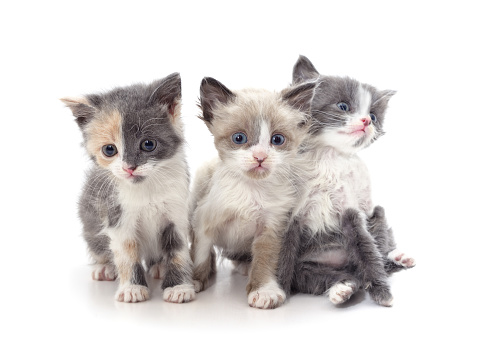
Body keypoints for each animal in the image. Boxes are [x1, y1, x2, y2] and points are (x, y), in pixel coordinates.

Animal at [59, 73, 194, 304]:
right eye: (109, 149)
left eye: (148, 144)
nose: (129, 167)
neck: (145, 188)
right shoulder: (116, 215)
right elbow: (126, 252)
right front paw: (132, 288)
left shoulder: (176, 212)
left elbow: (177, 250)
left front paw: (179, 287)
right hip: (90, 225)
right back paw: (104, 268)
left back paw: (159, 266)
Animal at [188, 77, 316, 310]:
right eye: (239, 138)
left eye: (277, 140)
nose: (260, 157)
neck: (251, 190)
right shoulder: (203, 223)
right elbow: (200, 254)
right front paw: (193, 280)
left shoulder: (271, 228)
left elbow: (265, 261)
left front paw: (263, 290)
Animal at [278, 55, 414, 308]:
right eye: (343, 106)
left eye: (373, 116)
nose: (366, 121)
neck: (329, 157)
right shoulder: (289, 215)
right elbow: (282, 256)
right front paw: (274, 290)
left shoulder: (352, 210)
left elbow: (367, 249)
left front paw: (382, 293)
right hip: (310, 269)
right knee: (319, 277)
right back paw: (342, 288)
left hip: (376, 212)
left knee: (379, 249)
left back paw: (397, 257)